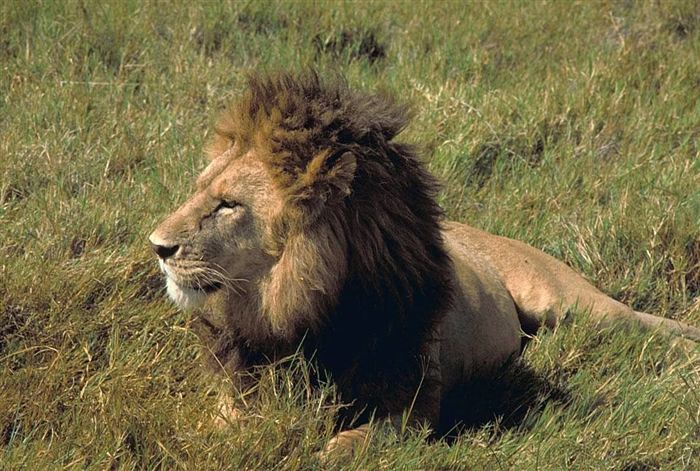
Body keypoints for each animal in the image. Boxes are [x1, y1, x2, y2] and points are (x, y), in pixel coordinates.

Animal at [149, 71, 700, 454]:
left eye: (228, 205)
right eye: (199, 190)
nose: (157, 246)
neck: (293, 309)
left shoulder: (412, 405)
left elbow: (350, 444)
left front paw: (323, 452)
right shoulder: (235, 384)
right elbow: (229, 425)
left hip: (568, 302)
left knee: (638, 321)